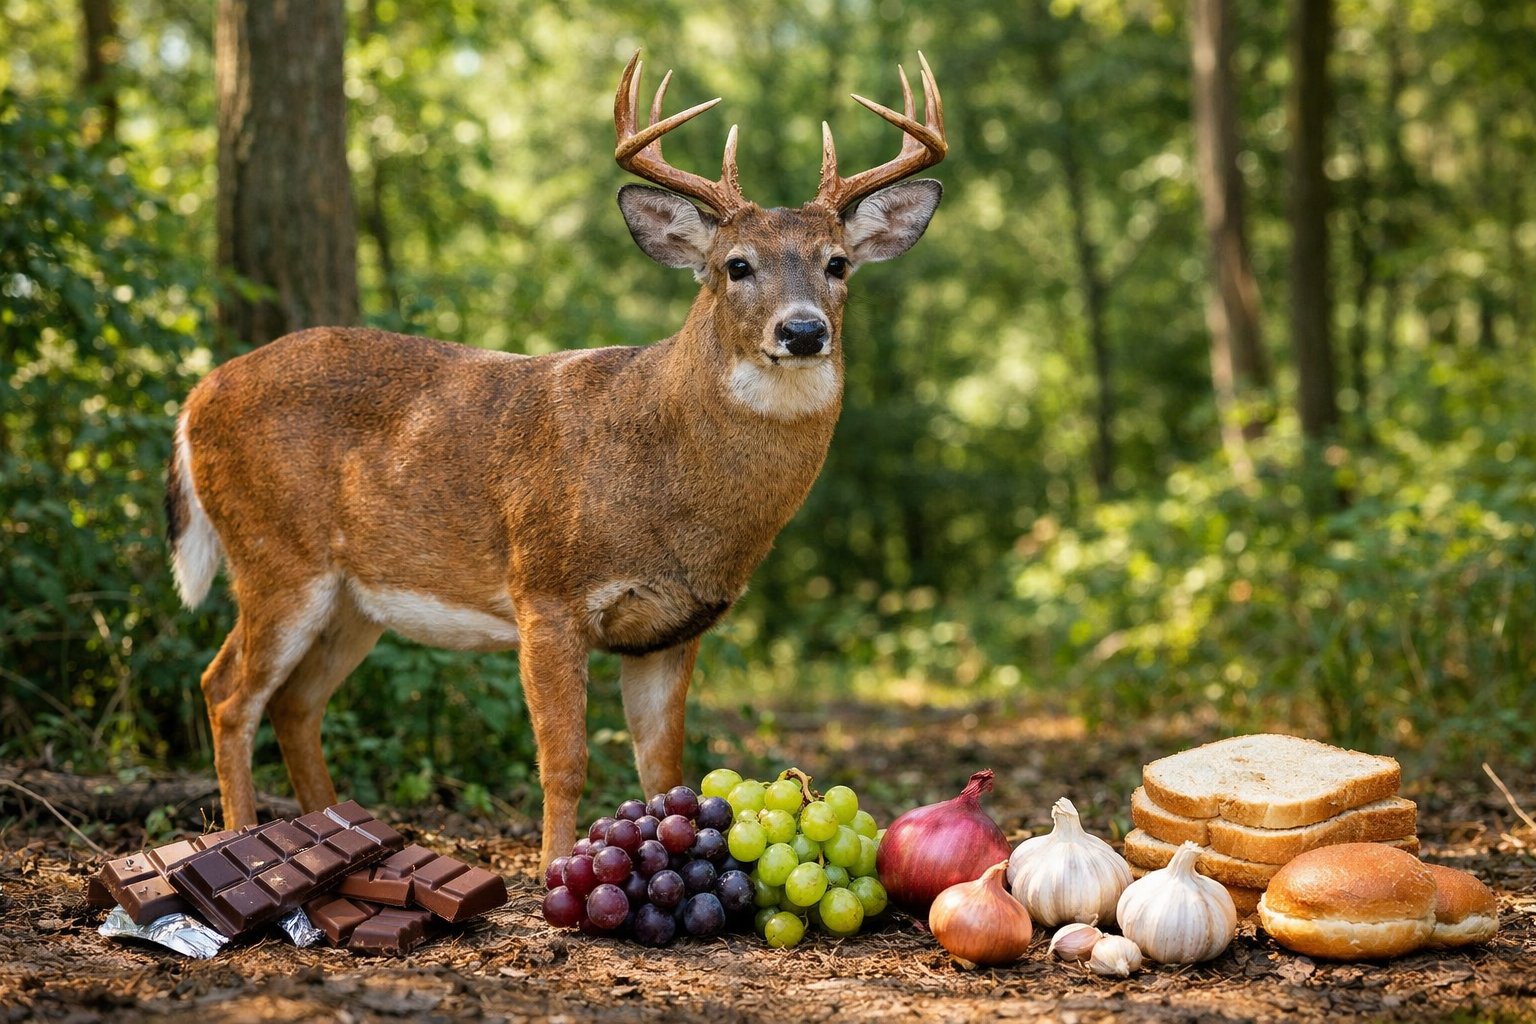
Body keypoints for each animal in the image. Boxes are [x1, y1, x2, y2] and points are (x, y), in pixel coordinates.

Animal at [166, 51, 946, 867]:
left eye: (839, 264)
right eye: (736, 265)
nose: (802, 331)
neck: (668, 481)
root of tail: (195, 396)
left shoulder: (673, 628)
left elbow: (665, 768)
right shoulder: (545, 591)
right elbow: (564, 760)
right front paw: (552, 872)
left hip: (355, 598)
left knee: (294, 703)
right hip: (275, 554)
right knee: (226, 690)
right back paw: (240, 836)